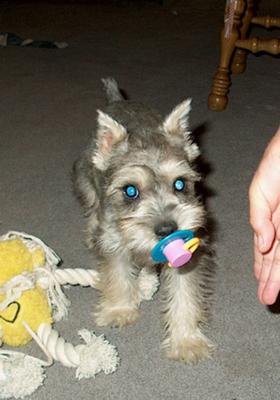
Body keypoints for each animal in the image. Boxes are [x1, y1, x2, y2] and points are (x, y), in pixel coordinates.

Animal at [72, 78, 214, 362]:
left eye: (180, 184)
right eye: (130, 190)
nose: (167, 229)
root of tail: (118, 100)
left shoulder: (188, 257)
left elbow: (185, 295)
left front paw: (186, 341)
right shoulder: (114, 243)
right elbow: (117, 274)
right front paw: (118, 309)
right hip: (85, 180)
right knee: (92, 205)